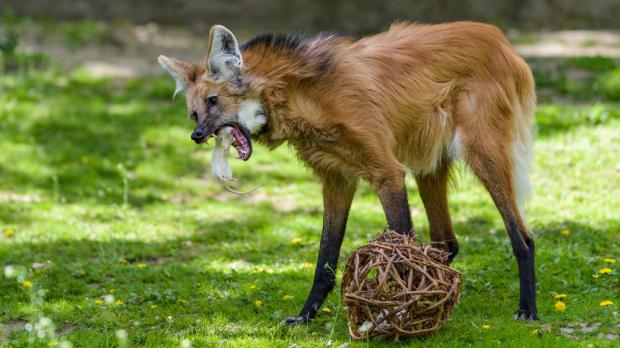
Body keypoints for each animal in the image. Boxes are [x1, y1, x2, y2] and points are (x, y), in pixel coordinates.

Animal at [159, 21, 536, 324]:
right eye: (194, 113)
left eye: (213, 101)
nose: (196, 136)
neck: (301, 95)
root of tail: (499, 39)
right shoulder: (337, 178)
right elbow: (325, 258)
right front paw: (305, 316)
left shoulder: (386, 171)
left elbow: (400, 250)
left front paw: (395, 313)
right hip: (427, 163)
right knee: (446, 241)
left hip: (481, 153)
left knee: (522, 236)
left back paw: (527, 310)